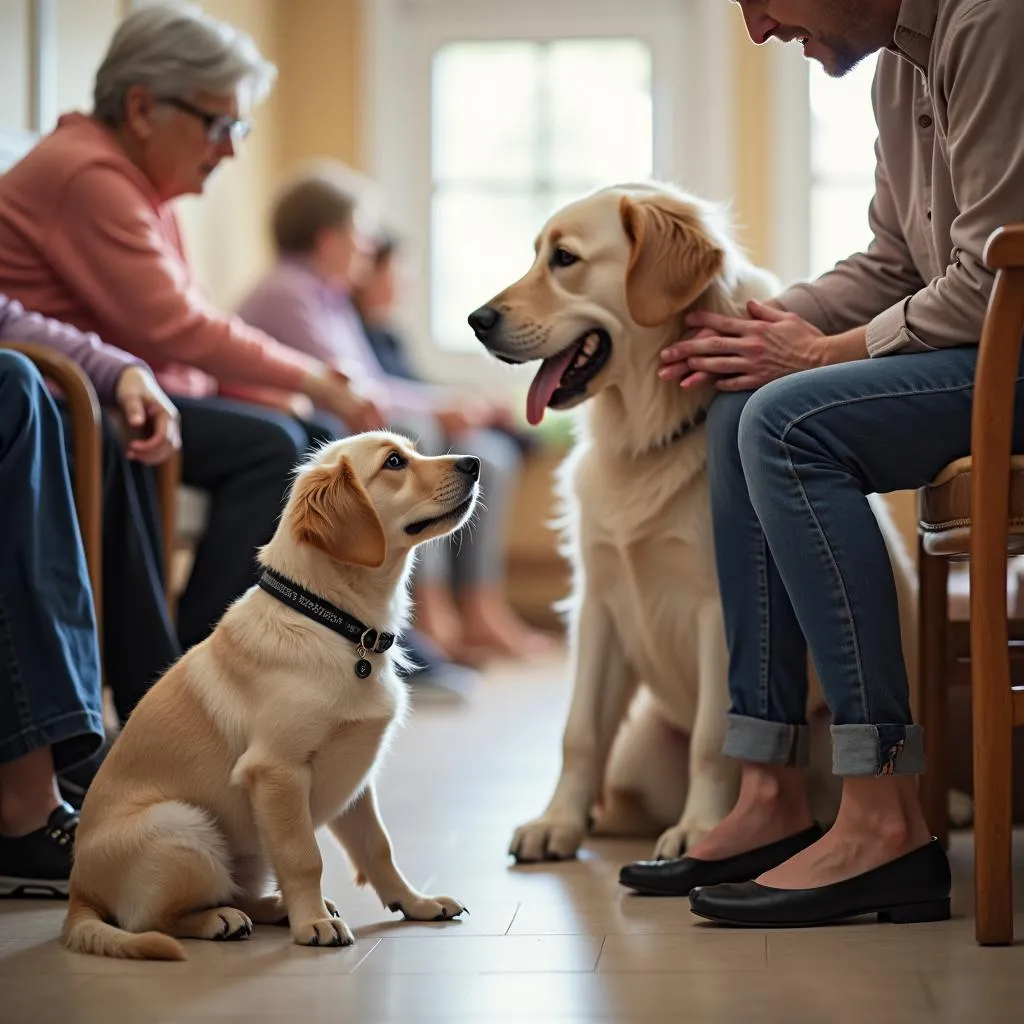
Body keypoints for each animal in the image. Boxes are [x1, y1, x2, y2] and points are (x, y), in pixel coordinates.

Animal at [61, 432, 477, 958]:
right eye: (394, 462)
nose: (474, 463)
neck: (337, 624)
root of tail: (78, 894)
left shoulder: (356, 775)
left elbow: (378, 847)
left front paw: (415, 902)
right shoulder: (277, 771)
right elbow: (305, 856)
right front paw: (312, 924)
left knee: (235, 890)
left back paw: (272, 908)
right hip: (182, 826)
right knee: (152, 919)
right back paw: (221, 920)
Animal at [468, 186, 917, 864]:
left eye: (565, 259)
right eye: (537, 254)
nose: (476, 321)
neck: (648, 433)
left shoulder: (718, 609)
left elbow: (714, 737)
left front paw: (702, 830)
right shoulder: (599, 603)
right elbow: (579, 731)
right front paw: (558, 822)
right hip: (643, 746)